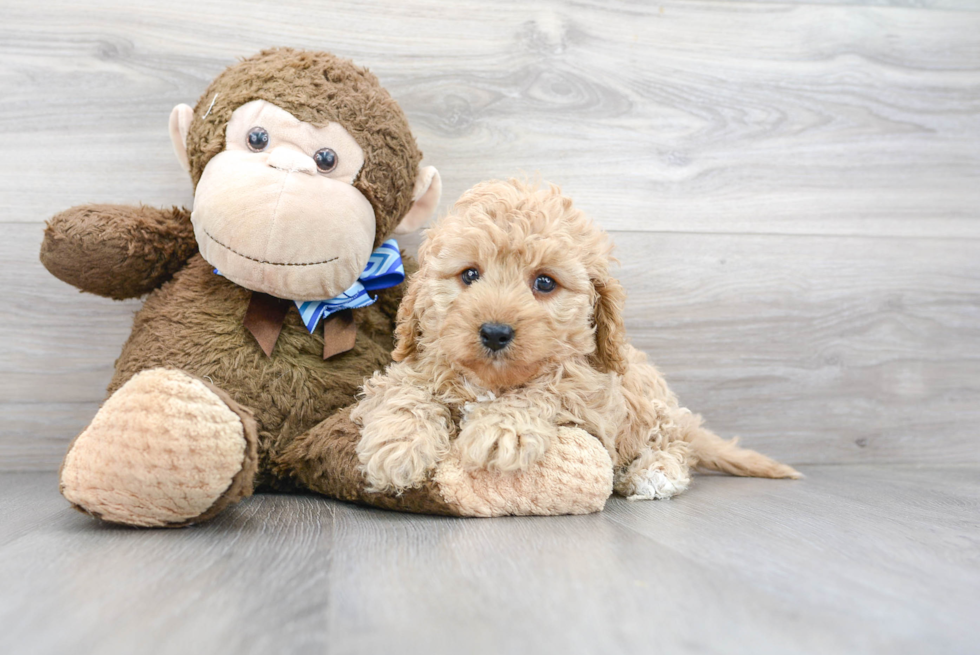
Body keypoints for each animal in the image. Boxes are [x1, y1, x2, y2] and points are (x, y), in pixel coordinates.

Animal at [356, 179, 800, 498]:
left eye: (545, 282)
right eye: (469, 274)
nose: (495, 332)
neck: (492, 383)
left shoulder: (595, 399)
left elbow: (550, 388)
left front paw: (502, 429)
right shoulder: (416, 365)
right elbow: (405, 391)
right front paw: (397, 446)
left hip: (655, 408)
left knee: (673, 444)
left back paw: (654, 474)